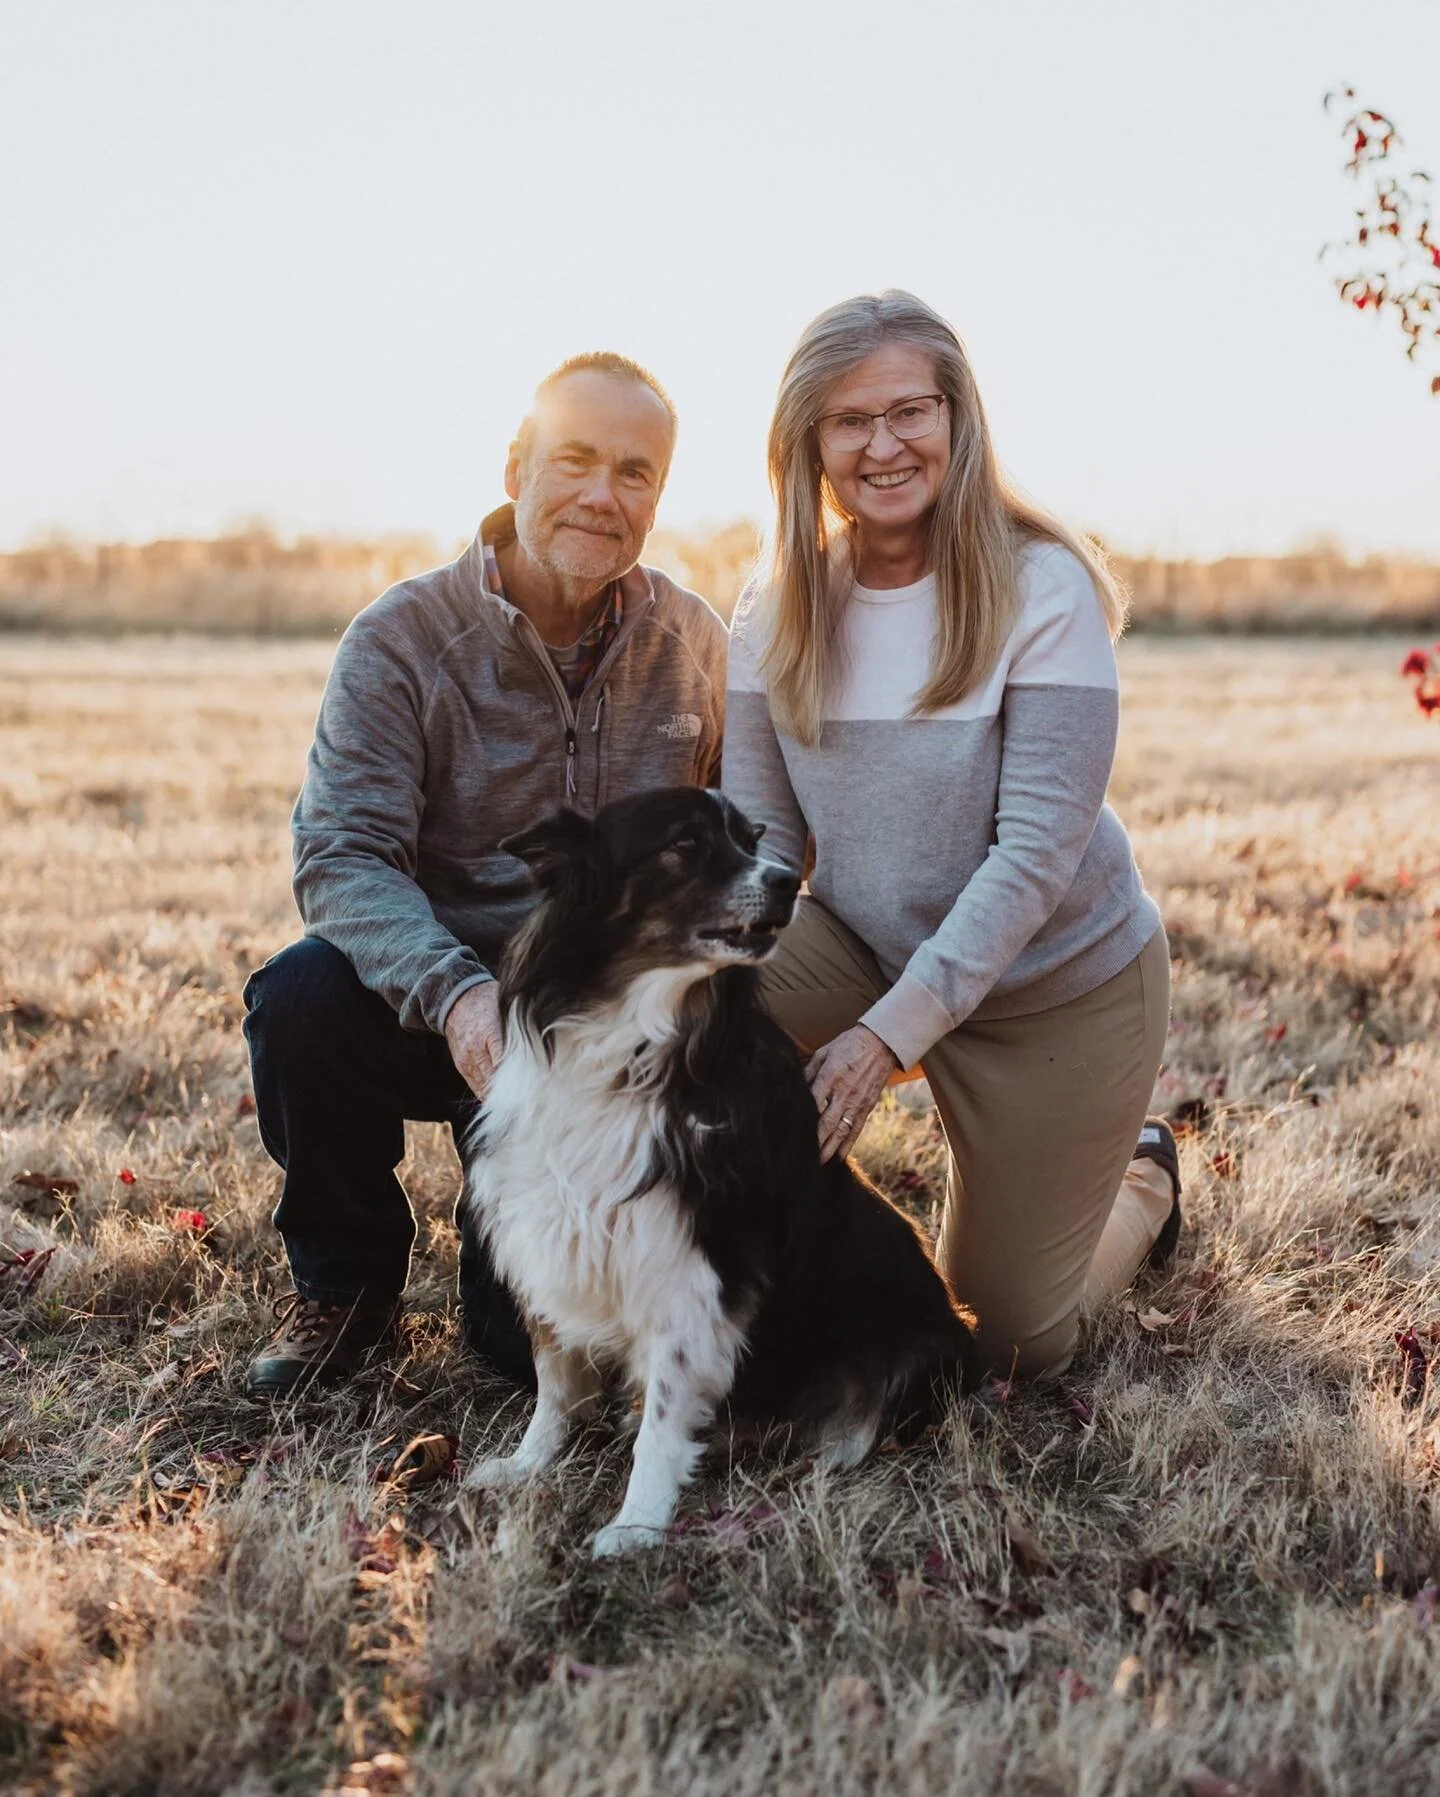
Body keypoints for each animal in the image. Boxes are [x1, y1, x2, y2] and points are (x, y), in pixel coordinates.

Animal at [460, 790, 977, 1559]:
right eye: (685, 844)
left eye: (751, 838)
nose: (788, 881)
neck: (634, 1044)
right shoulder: (551, 1234)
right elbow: (553, 1383)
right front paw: (527, 1464)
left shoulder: (691, 1273)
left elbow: (659, 1421)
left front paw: (635, 1524)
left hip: (919, 1344)